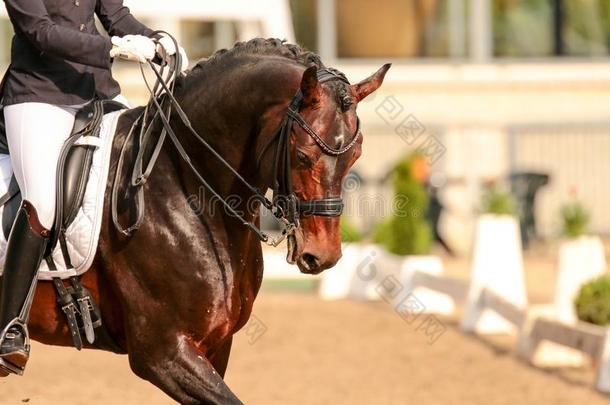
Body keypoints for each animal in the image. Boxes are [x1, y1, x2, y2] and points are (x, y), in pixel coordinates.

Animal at [22, 38, 390, 404]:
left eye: (355, 155)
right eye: (303, 155)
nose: (323, 255)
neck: (183, 184)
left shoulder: (216, 343)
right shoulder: (163, 353)